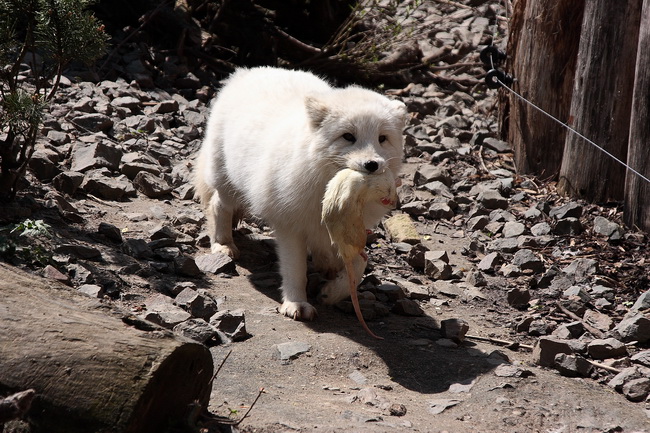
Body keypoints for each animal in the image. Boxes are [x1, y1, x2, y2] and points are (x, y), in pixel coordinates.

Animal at [191, 66, 404, 318]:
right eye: (348, 136)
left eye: (382, 138)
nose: (372, 164)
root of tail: (247, 71)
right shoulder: (290, 226)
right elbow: (295, 269)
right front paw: (297, 303)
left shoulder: (347, 229)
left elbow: (360, 264)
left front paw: (332, 292)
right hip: (226, 182)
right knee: (218, 205)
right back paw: (223, 244)